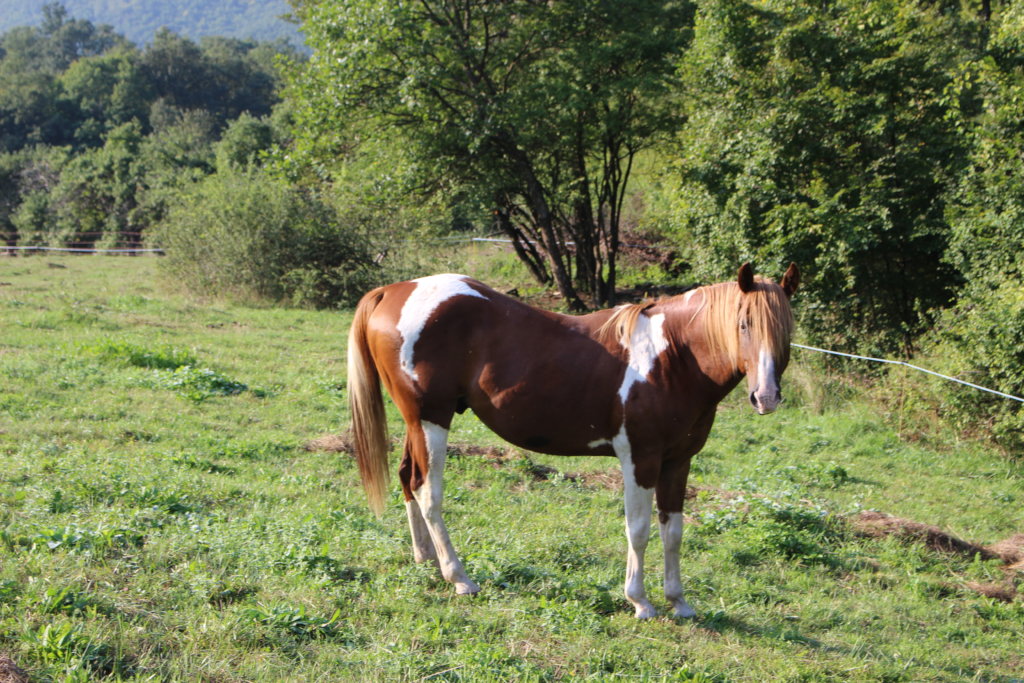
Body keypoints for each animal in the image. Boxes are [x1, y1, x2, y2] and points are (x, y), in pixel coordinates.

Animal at [346, 262, 799, 618]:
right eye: (744, 324)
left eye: (786, 330)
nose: (766, 397)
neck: (673, 357)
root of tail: (394, 291)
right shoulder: (640, 458)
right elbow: (638, 529)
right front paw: (640, 601)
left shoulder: (678, 460)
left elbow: (673, 530)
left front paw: (679, 602)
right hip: (432, 419)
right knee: (428, 491)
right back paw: (459, 577)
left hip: (418, 422)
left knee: (408, 477)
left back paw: (425, 559)